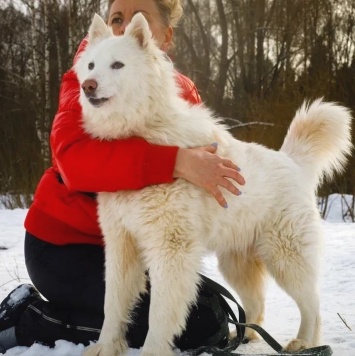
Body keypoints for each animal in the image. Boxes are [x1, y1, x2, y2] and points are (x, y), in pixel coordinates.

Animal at [76, 13, 354, 356]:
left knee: (312, 305)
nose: (87, 86)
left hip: (286, 258)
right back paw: (243, 336)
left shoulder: (171, 250)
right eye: (90, 65)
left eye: (117, 65)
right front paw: (105, 347)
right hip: (235, 262)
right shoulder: (121, 245)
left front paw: (152, 350)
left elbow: (159, 314)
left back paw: (303, 342)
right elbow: (112, 305)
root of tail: (293, 162)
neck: (141, 138)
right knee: (257, 303)